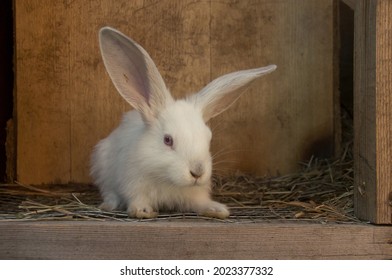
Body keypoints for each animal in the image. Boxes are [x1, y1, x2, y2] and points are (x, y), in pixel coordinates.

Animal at [91, 26, 276, 219]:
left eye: (209, 138)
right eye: (167, 140)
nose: (197, 172)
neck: (166, 178)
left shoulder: (195, 195)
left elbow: (200, 203)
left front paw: (217, 210)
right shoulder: (134, 186)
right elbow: (137, 200)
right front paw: (143, 212)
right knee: (109, 192)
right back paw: (108, 205)